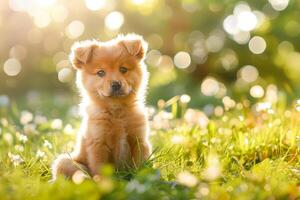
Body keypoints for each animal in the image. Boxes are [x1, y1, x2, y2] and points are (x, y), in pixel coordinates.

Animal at [51, 33, 152, 179]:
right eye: (100, 73)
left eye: (123, 69)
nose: (116, 84)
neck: (116, 112)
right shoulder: (98, 144)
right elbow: (100, 169)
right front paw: (103, 182)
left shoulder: (139, 140)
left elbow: (139, 164)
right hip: (65, 161)